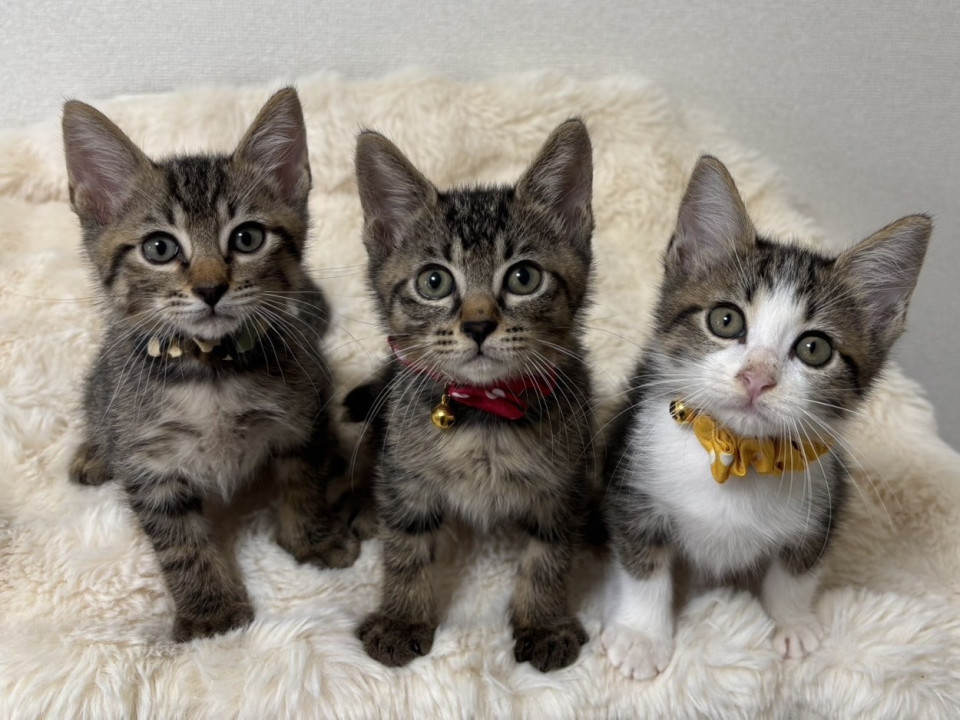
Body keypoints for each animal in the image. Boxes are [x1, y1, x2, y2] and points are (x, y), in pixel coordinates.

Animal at [63, 88, 363, 642]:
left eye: (247, 238)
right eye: (159, 247)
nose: (209, 288)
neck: (210, 373)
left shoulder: (300, 417)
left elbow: (304, 483)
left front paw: (311, 539)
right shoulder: (149, 465)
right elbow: (179, 542)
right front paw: (210, 611)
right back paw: (94, 453)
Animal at [351, 119, 596, 671]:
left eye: (524, 277)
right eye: (434, 282)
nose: (479, 325)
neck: (485, 412)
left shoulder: (564, 483)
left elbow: (548, 557)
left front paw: (544, 623)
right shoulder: (405, 474)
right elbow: (406, 547)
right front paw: (401, 618)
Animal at [601, 155, 931, 679]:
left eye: (815, 349)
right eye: (725, 320)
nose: (757, 377)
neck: (740, 452)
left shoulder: (825, 498)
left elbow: (796, 568)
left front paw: (793, 623)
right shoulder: (633, 482)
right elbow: (641, 563)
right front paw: (641, 636)